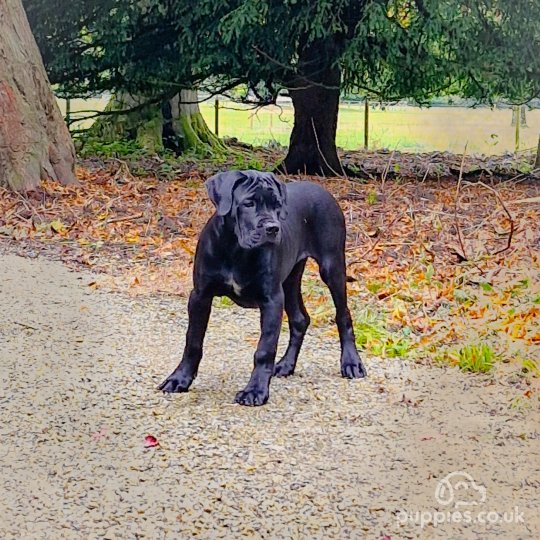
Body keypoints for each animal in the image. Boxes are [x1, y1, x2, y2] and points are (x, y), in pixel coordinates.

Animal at [157, 170, 368, 404]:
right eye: (248, 203)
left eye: (277, 205)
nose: (273, 228)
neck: (235, 248)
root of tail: (322, 190)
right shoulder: (200, 295)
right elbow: (193, 341)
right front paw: (180, 379)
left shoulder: (271, 300)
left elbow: (264, 349)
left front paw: (255, 390)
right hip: (290, 279)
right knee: (300, 319)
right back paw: (286, 365)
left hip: (332, 267)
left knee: (343, 315)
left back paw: (351, 363)